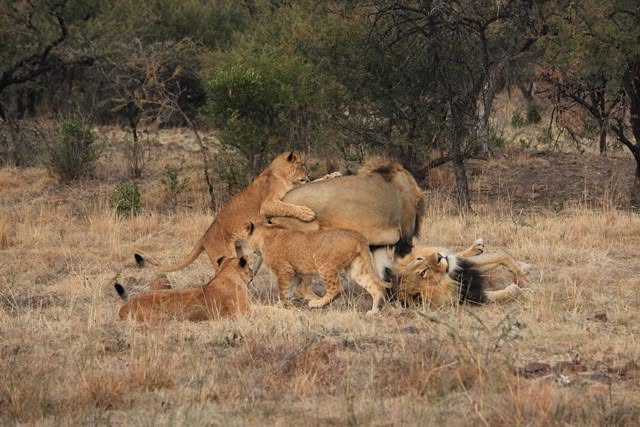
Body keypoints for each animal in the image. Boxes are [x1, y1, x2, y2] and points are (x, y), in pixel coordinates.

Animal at [115, 256, 252, 321]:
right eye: (249, 267)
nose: (252, 274)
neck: (226, 272)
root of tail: (124, 307)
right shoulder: (242, 312)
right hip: (160, 316)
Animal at [134, 151, 315, 273]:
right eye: (302, 165)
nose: (310, 176)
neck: (279, 173)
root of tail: (204, 236)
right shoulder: (267, 204)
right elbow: (288, 207)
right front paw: (307, 213)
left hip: (237, 250)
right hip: (224, 255)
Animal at [238, 222, 391, 314]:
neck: (265, 234)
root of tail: (357, 235)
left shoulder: (284, 270)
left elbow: (283, 292)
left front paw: (286, 307)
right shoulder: (296, 272)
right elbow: (293, 290)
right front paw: (280, 306)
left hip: (324, 265)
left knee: (337, 289)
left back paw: (317, 304)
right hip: (356, 268)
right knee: (375, 287)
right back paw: (373, 312)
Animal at [386, 239, 530, 307]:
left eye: (420, 259)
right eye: (423, 273)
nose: (439, 256)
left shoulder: (463, 268)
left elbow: (501, 256)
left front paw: (521, 272)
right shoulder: (470, 295)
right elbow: (508, 293)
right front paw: (523, 289)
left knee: (457, 254)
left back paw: (477, 247)